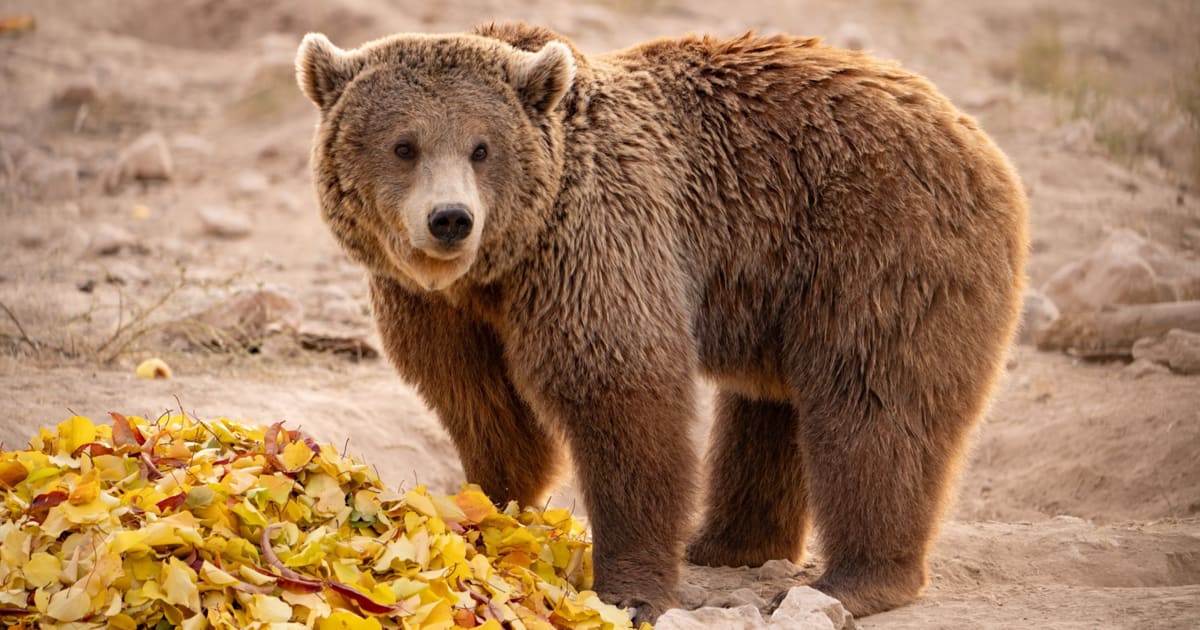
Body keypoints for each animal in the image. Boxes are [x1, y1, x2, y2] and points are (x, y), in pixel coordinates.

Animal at [295, 22, 1028, 622]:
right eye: (404, 145)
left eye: (481, 147)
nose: (450, 219)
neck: (503, 261)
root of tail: (976, 138)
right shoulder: (441, 306)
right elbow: (482, 402)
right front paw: (486, 511)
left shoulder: (596, 239)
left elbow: (622, 393)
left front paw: (627, 589)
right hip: (779, 286)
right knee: (769, 409)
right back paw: (727, 544)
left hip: (878, 242)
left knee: (873, 403)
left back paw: (855, 579)